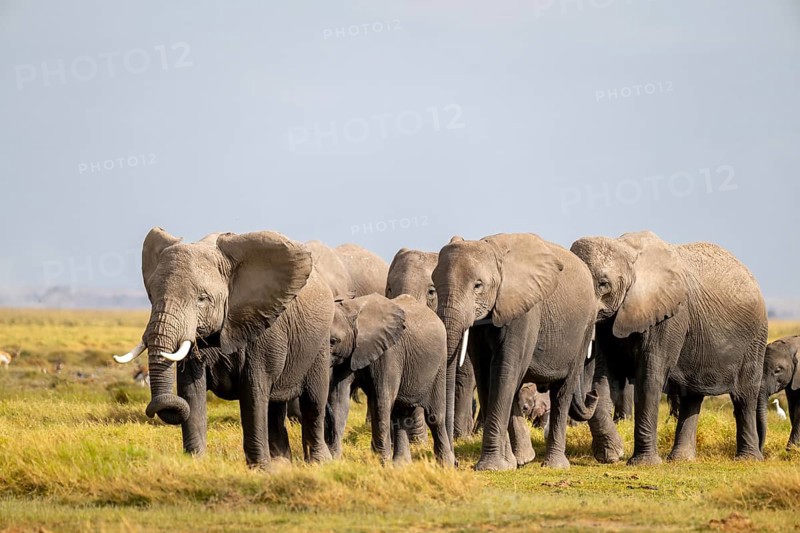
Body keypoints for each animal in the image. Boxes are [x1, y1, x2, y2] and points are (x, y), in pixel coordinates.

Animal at [112, 228, 334, 467]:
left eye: (202, 299)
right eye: (151, 296)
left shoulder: (263, 327)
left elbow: (253, 393)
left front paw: (261, 470)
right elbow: (191, 392)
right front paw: (196, 464)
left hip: (320, 342)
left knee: (313, 402)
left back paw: (319, 463)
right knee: (275, 408)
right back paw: (282, 464)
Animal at [327, 293, 454, 466]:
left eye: (333, 341)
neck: (353, 310)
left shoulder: (389, 353)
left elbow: (381, 400)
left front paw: (382, 463)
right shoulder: (348, 356)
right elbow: (339, 398)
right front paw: (333, 460)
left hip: (439, 364)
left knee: (434, 417)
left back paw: (447, 465)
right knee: (400, 416)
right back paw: (402, 465)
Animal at [432, 233, 598, 470]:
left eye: (478, 285)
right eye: (433, 286)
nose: (453, 463)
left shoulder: (525, 310)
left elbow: (504, 369)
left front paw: (491, 467)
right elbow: (485, 372)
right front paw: (505, 464)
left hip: (585, 329)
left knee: (562, 392)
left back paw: (553, 465)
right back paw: (522, 459)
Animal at [571, 230, 768, 465]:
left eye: (603, 284)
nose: (588, 396)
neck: (626, 251)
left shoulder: (669, 317)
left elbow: (649, 379)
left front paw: (643, 463)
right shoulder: (610, 321)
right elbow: (603, 376)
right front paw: (612, 454)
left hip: (755, 338)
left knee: (744, 397)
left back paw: (748, 460)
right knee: (692, 396)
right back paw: (681, 459)